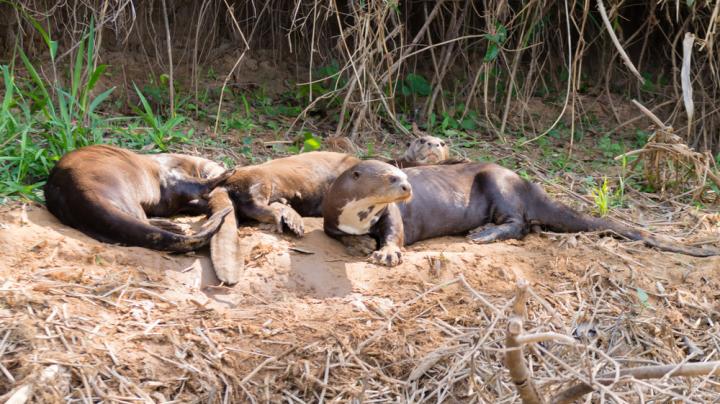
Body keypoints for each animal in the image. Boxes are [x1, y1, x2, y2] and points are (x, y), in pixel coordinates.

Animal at [44, 144, 233, 252]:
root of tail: (71, 192)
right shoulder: (172, 174)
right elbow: (192, 184)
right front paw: (226, 173)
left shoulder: (171, 202)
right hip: (119, 190)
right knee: (140, 218)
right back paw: (173, 227)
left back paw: (170, 226)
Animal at [322, 159, 720, 266]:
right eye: (391, 178)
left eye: (403, 175)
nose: (407, 189)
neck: (356, 217)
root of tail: (527, 181)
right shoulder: (330, 217)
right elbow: (334, 235)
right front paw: (359, 245)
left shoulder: (393, 214)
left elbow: (395, 233)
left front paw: (385, 253)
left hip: (498, 182)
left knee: (520, 224)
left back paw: (481, 235)